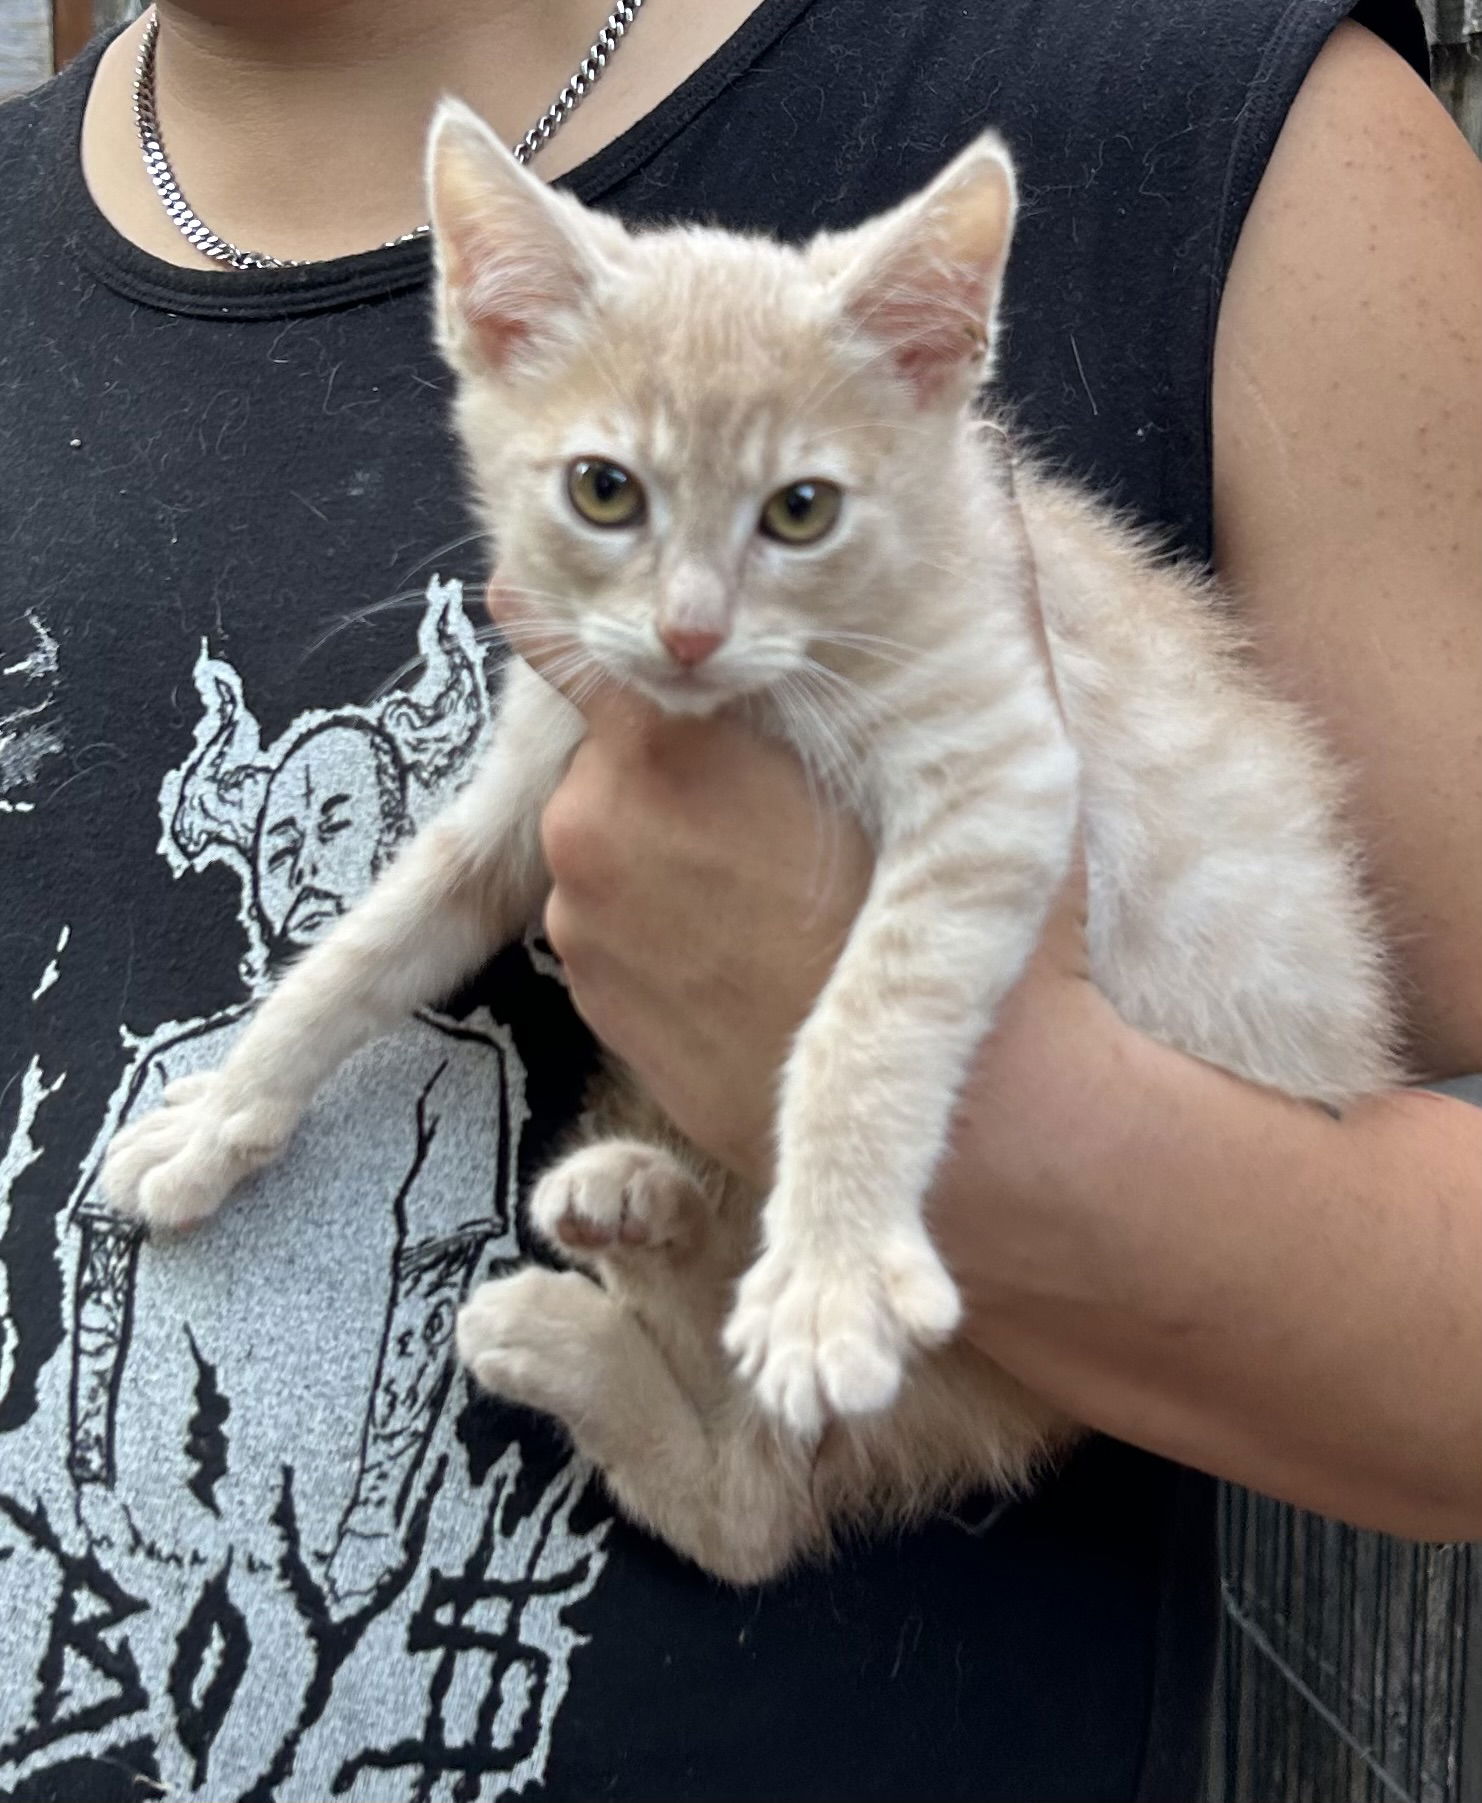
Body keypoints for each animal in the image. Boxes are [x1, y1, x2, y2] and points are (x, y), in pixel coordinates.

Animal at [104, 105, 1406, 1586]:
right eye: (603, 490)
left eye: (801, 510)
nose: (687, 632)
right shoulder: (531, 778)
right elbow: (365, 946)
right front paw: (217, 1112)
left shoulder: (1006, 765)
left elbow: (870, 1018)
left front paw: (832, 1268)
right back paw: (615, 1221)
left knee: (756, 1511)